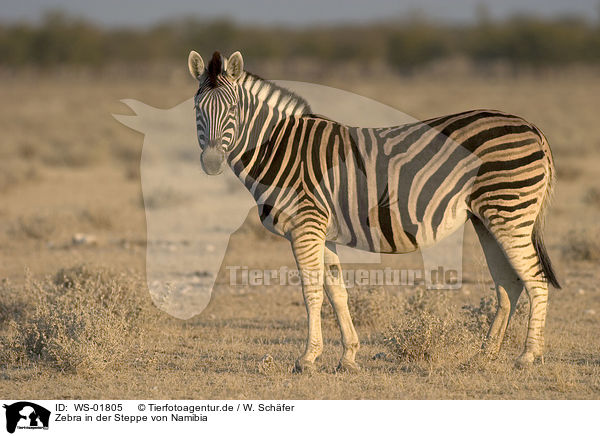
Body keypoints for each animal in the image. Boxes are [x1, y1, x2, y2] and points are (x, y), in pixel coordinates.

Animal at [186, 50, 556, 372]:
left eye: (233, 109)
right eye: (197, 109)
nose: (212, 163)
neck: (279, 147)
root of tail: (532, 127)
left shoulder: (305, 225)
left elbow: (311, 292)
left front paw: (307, 359)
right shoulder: (322, 232)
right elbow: (337, 293)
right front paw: (347, 357)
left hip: (510, 212)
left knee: (535, 279)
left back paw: (527, 356)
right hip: (486, 218)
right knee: (509, 284)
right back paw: (485, 355)